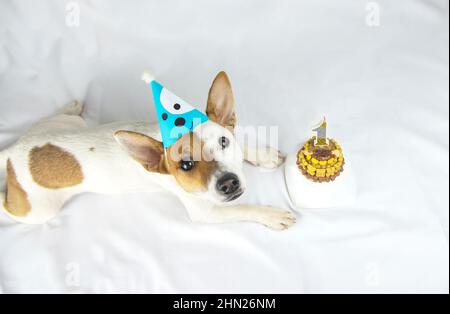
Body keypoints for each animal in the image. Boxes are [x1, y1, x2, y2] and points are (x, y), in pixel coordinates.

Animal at [0, 72, 298, 229]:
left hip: (64, 125)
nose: (228, 183)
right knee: (7, 205)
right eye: (186, 165)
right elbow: (244, 208)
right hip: (37, 210)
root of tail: (14, 153)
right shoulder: (206, 213)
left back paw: (70, 107)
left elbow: (244, 145)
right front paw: (272, 215)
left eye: (223, 142)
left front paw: (263, 155)